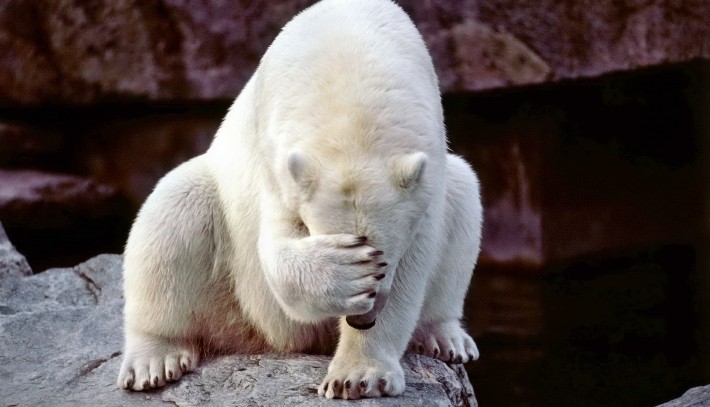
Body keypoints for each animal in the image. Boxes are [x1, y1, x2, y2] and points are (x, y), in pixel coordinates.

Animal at [117, 0, 484, 398]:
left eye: (384, 259)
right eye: (362, 252)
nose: (362, 319)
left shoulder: (426, 175)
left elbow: (415, 263)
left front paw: (357, 376)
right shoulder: (276, 157)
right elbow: (275, 247)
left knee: (464, 195)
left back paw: (445, 337)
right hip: (228, 289)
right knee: (174, 209)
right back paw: (153, 360)